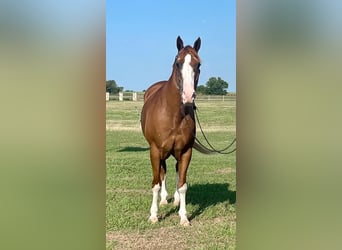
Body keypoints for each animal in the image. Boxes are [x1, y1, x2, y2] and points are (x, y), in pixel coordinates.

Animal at [140, 36, 207, 226]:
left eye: (198, 64)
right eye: (178, 63)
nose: (188, 96)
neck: (173, 114)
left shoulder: (185, 151)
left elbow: (183, 185)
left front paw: (183, 217)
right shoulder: (155, 150)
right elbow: (156, 183)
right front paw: (153, 215)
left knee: (176, 171)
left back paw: (175, 200)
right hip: (161, 153)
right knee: (162, 172)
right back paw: (163, 200)